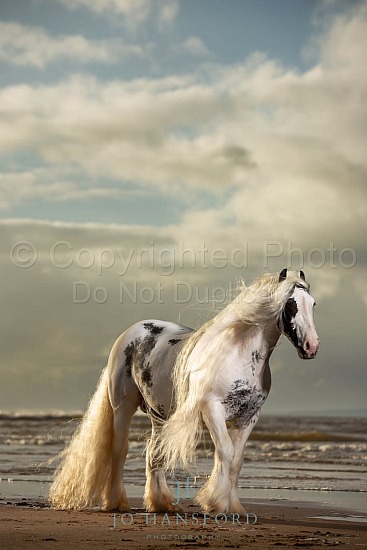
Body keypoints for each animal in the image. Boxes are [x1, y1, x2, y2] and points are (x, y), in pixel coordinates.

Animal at [49, 270, 320, 516]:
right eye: (290, 304)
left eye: (313, 304)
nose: (312, 347)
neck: (238, 355)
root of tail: (130, 334)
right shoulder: (212, 409)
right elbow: (225, 452)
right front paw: (215, 504)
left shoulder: (248, 418)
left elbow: (236, 462)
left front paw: (234, 508)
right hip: (123, 406)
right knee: (120, 449)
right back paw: (117, 503)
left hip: (159, 415)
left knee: (154, 454)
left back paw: (162, 504)